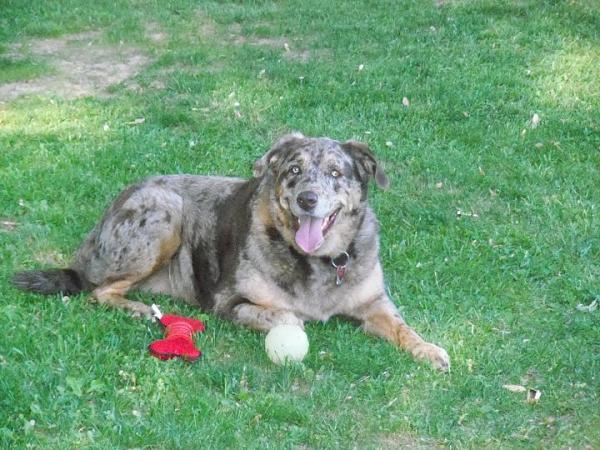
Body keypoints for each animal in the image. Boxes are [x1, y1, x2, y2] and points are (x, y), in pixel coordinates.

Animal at [12, 134, 450, 372]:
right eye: (293, 170)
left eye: (336, 173)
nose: (307, 199)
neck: (318, 261)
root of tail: (99, 223)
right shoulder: (231, 302)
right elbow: (289, 316)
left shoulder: (375, 304)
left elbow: (403, 328)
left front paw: (429, 350)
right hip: (165, 211)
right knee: (98, 291)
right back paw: (135, 308)